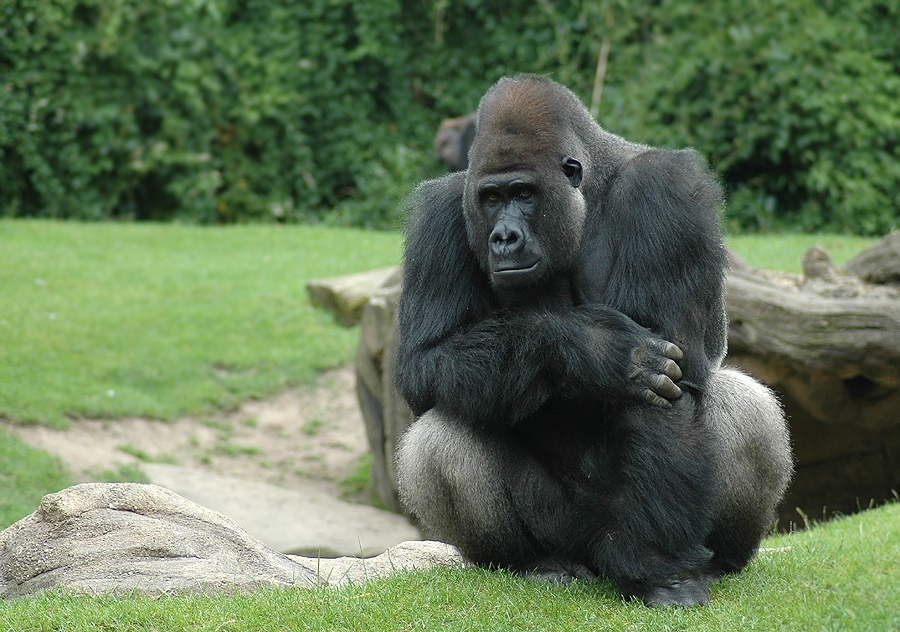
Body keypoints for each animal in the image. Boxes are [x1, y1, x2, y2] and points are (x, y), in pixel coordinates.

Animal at [398, 75, 792, 608]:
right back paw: (537, 563)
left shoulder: (666, 193)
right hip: (568, 534)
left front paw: (659, 567)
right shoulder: (439, 216)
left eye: (523, 193)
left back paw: (715, 561)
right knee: (442, 430)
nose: (503, 238)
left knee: (745, 402)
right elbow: (426, 363)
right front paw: (593, 350)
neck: (589, 188)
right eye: (490, 198)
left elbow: (669, 388)